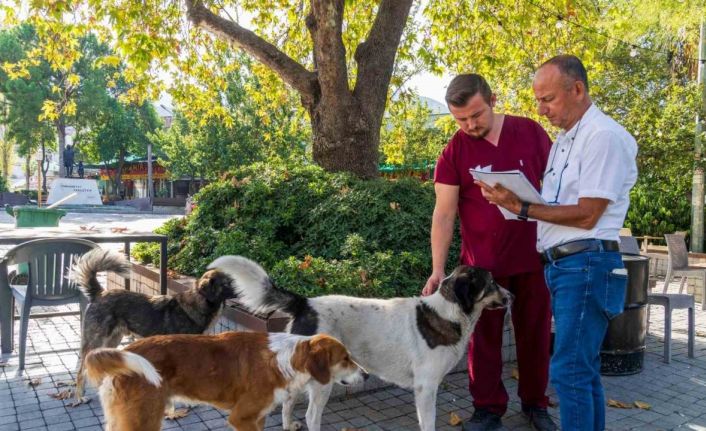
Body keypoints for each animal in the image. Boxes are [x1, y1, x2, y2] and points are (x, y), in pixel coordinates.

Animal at [84, 332, 364, 430]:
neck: (287, 359)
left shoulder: (257, 418)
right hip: (143, 421)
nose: (367, 375)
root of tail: (126, 350)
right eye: (346, 359)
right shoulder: (241, 418)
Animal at [206, 256, 508, 431]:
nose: (511, 295)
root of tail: (306, 303)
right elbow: (429, 422)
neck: (447, 312)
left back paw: (288, 425)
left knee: (288, 402)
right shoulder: (425, 388)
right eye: (492, 282)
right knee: (312, 416)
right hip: (323, 382)